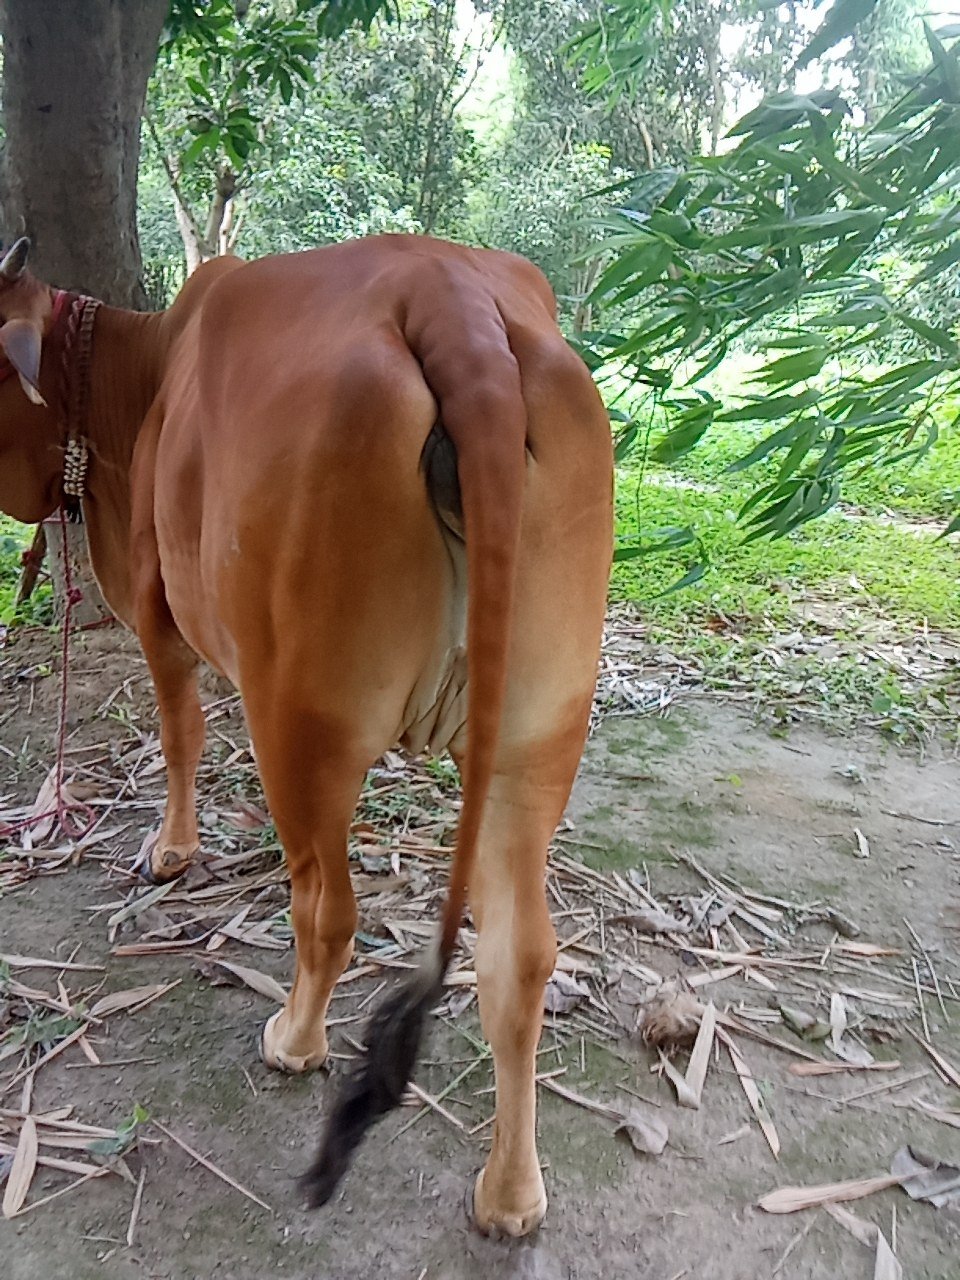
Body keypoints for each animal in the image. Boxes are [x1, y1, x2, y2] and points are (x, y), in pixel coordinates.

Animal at [0, 233, 612, 1236]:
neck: (144, 371)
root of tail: (452, 303)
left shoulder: (160, 613)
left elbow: (181, 734)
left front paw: (170, 852)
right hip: (539, 739)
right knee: (518, 959)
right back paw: (510, 1191)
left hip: (300, 720)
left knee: (328, 910)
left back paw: (294, 1036)